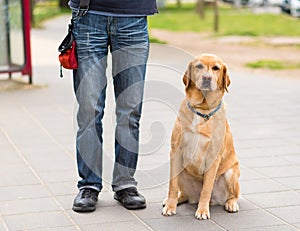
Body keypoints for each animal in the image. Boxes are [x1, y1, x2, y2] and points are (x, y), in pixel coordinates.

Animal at [163, 53, 240, 219]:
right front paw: (171, 206)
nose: (206, 78)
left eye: (216, 68)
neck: (202, 110)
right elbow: (172, 185)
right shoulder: (175, 152)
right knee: (183, 193)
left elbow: (206, 189)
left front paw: (203, 210)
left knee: (233, 195)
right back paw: (173, 200)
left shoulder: (213, 157)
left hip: (231, 173)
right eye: (199, 66)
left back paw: (231, 204)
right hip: (181, 170)